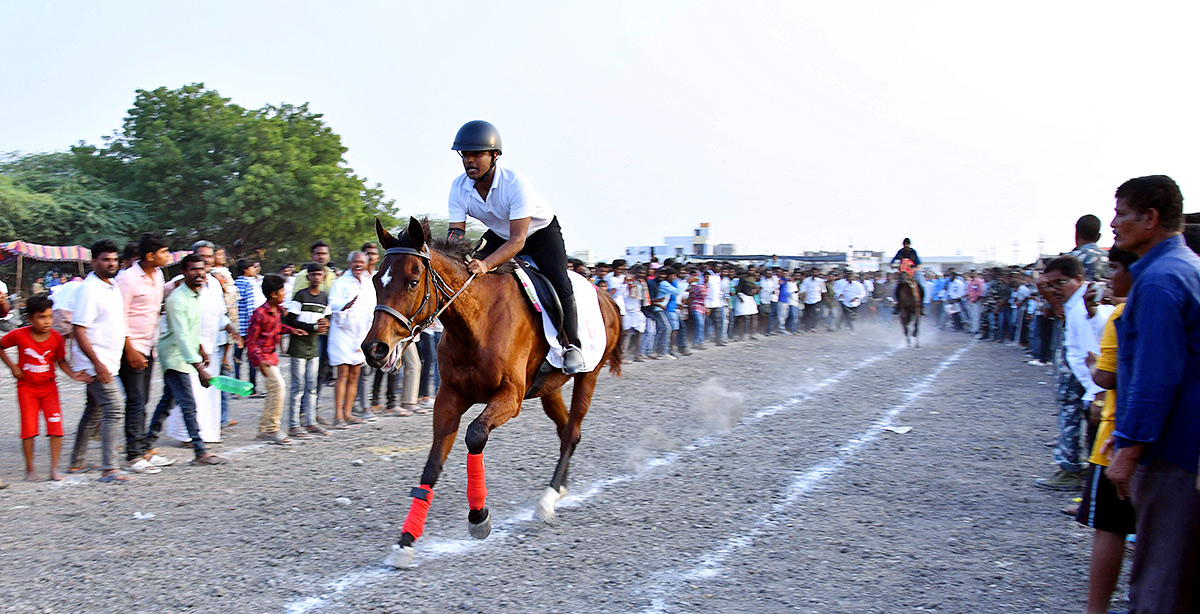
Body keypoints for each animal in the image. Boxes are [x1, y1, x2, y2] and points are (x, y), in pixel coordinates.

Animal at [360, 218, 624, 568]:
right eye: (376, 280)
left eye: (413, 281)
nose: (374, 349)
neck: (476, 321)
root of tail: (608, 298)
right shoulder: (449, 398)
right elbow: (432, 464)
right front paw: (406, 541)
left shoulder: (510, 396)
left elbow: (475, 435)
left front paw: (478, 516)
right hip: (548, 388)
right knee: (567, 428)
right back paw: (562, 487)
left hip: (588, 375)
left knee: (571, 431)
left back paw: (547, 500)